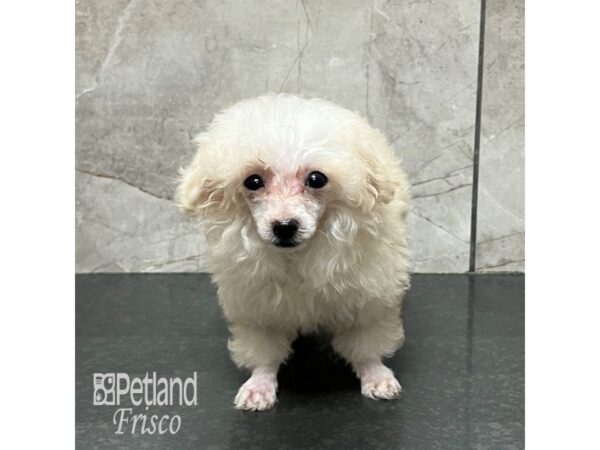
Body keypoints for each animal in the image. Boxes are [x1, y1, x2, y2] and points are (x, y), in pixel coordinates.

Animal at [176, 95, 410, 412]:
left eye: (316, 179)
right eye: (252, 181)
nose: (284, 227)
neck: (299, 256)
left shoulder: (368, 300)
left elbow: (365, 343)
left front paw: (375, 374)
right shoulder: (258, 308)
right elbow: (264, 350)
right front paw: (260, 384)